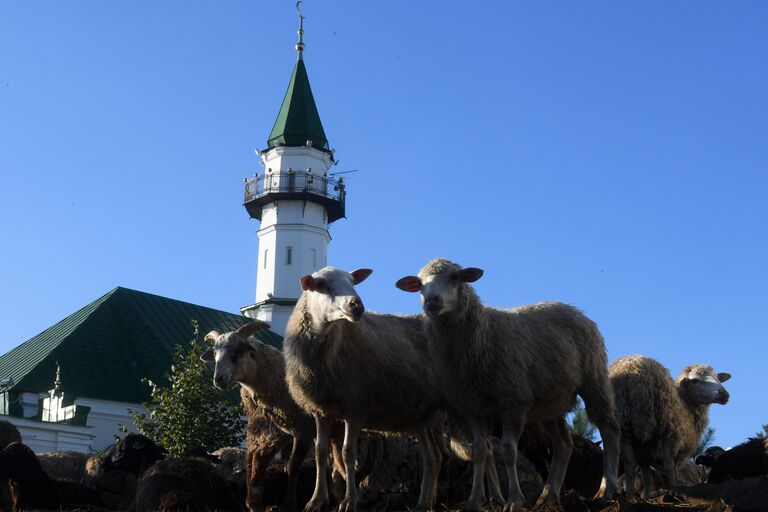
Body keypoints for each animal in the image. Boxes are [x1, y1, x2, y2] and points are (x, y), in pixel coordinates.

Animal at [284, 268, 448, 512]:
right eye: (321, 285)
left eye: (353, 282)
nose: (357, 305)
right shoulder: (321, 410)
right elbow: (320, 453)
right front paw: (316, 500)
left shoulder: (356, 408)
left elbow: (347, 453)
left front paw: (349, 501)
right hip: (418, 414)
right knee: (433, 457)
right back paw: (423, 504)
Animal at [400, 260, 620, 512]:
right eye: (419, 284)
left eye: (454, 277)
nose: (432, 301)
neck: (480, 337)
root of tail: (574, 309)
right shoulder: (472, 408)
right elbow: (480, 451)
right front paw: (474, 501)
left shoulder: (513, 402)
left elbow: (509, 451)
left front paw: (514, 500)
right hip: (549, 402)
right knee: (564, 444)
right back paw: (547, 497)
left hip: (594, 379)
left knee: (609, 430)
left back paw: (606, 489)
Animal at [608, 354, 728, 498]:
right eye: (695, 380)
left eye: (718, 378)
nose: (724, 394)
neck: (686, 406)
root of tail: (630, 370)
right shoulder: (677, 448)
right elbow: (671, 470)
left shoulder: (645, 449)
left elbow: (646, 475)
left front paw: (645, 497)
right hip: (667, 429)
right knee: (668, 468)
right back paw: (674, 491)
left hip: (623, 425)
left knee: (630, 466)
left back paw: (629, 498)